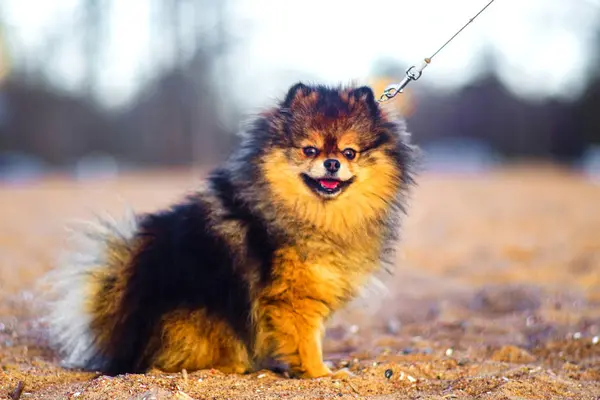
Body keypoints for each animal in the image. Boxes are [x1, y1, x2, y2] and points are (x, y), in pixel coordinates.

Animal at [44, 82, 414, 378]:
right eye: (310, 149)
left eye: (350, 152)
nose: (332, 163)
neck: (318, 215)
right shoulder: (292, 298)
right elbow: (306, 342)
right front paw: (321, 375)